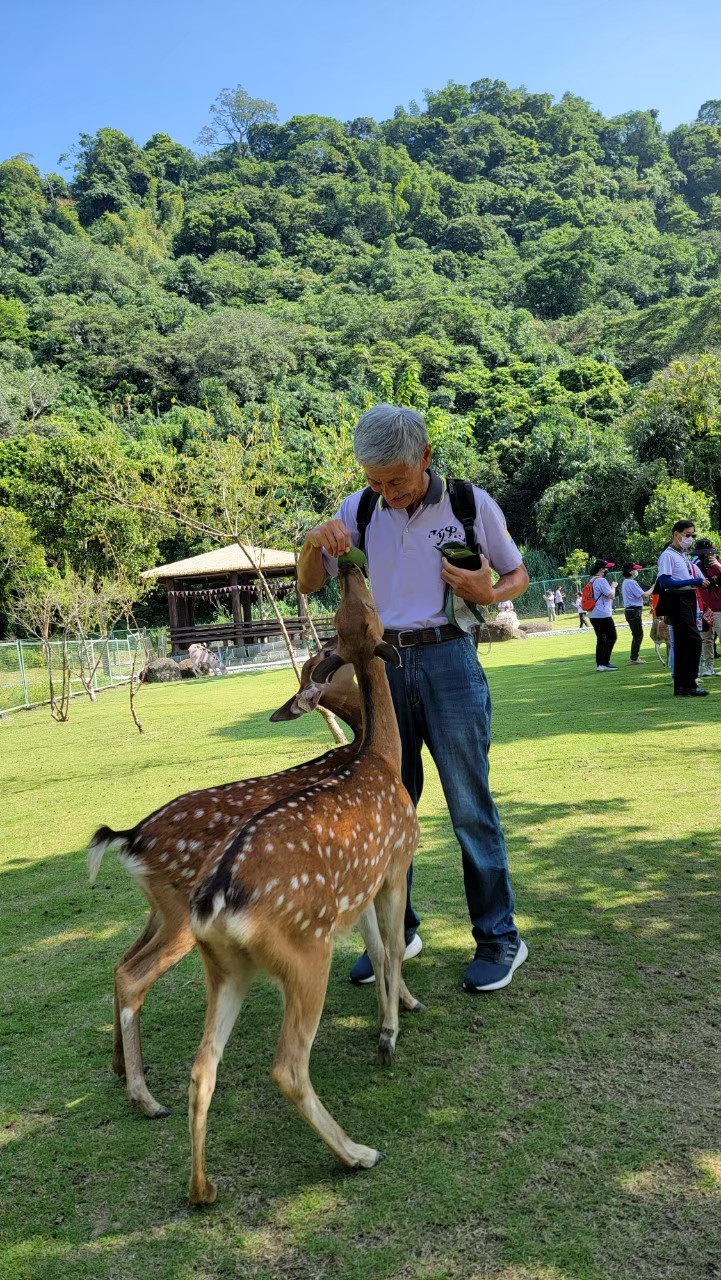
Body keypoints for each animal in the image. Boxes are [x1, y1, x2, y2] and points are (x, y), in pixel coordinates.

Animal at [87, 645, 363, 1116]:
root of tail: (131, 837)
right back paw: (147, 1099)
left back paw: (120, 1068)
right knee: (132, 975)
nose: (327, 640)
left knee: (120, 961)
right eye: (325, 655)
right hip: (182, 916)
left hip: (159, 909)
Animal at [188, 560, 422, 1198]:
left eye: (346, 614)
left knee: (202, 1065)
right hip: (304, 953)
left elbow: (377, 948)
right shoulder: (395, 864)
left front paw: (394, 1013)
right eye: (367, 611)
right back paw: (357, 1153)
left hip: (225, 968)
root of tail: (214, 904)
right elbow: (394, 947)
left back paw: (202, 1189)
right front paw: (389, 1034)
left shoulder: (358, 890)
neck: (380, 756)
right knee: (287, 1066)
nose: (352, 563)